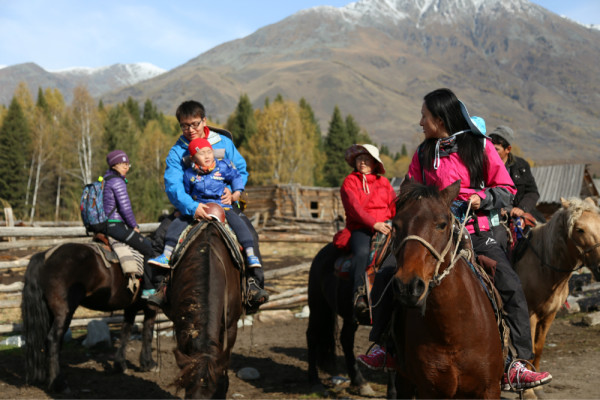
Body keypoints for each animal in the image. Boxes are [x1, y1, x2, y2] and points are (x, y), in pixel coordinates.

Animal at [21, 242, 157, 392]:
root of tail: (46, 256)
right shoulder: (151, 307)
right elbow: (148, 333)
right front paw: (148, 363)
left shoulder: (130, 308)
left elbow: (125, 333)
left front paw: (120, 364)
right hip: (64, 313)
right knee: (53, 340)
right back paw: (59, 384)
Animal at [390, 180, 506, 396]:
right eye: (395, 225)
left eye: (442, 224)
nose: (407, 286)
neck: (451, 334)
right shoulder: (428, 389)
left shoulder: (490, 388)